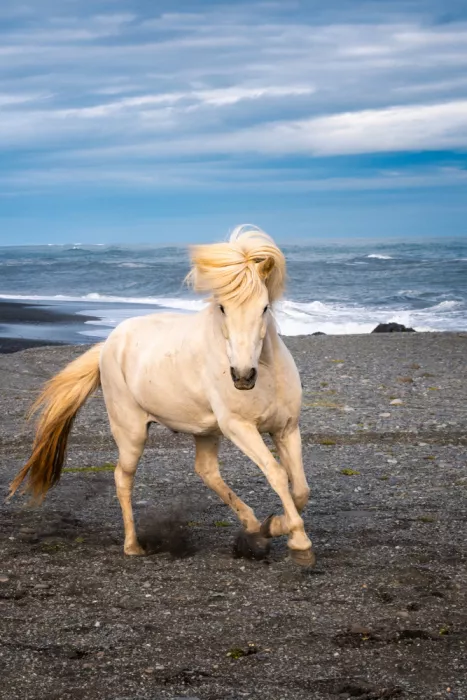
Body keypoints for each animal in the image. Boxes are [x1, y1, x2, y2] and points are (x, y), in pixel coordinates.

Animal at [9, 225, 314, 567]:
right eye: (222, 307)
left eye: (264, 308)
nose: (242, 376)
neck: (267, 374)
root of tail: (109, 343)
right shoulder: (240, 427)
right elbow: (277, 474)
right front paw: (299, 543)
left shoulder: (286, 428)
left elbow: (300, 488)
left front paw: (272, 527)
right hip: (132, 432)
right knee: (123, 477)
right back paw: (133, 546)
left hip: (206, 430)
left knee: (207, 471)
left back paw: (251, 526)